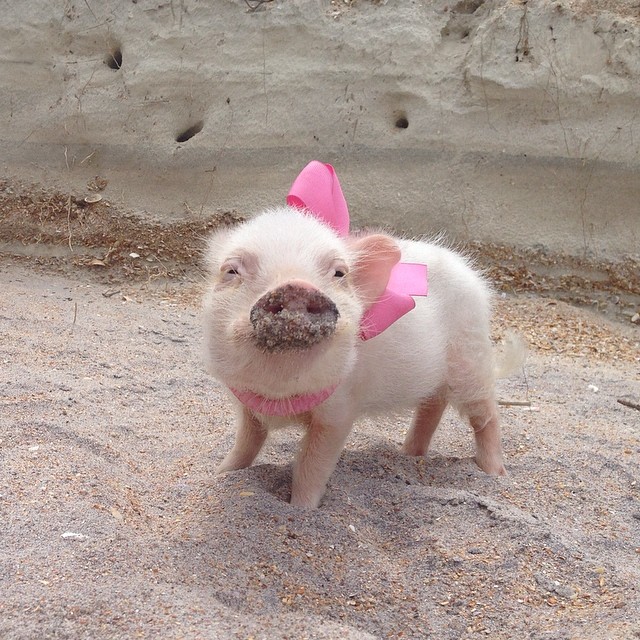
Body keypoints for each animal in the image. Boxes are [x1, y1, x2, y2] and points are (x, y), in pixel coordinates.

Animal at [203, 162, 515, 509]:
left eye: (339, 273)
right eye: (232, 270)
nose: (296, 286)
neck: (280, 390)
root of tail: (468, 270)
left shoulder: (339, 412)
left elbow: (312, 466)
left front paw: (301, 509)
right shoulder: (246, 403)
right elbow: (246, 443)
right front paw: (219, 474)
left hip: (471, 356)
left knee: (487, 415)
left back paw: (494, 473)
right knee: (433, 405)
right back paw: (407, 454)